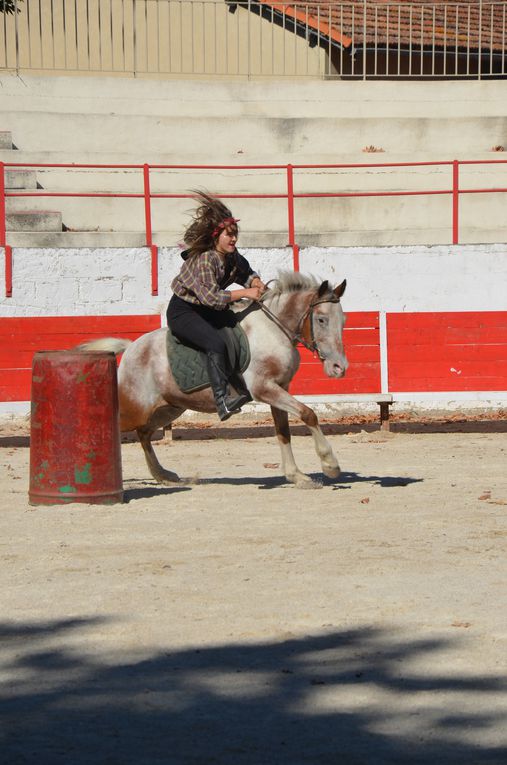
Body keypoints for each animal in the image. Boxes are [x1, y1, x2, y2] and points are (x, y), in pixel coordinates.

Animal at [80, 272, 350, 486]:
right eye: (321, 319)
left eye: (343, 321)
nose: (339, 367)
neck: (273, 329)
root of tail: (131, 349)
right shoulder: (264, 389)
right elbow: (308, 414)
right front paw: (330, 464)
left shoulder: (279, 388)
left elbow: (283, 431)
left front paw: (297, 476)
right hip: (134, 407)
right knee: (115, 428)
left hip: (169, 408)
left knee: (144, 434)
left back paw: (163, 475)